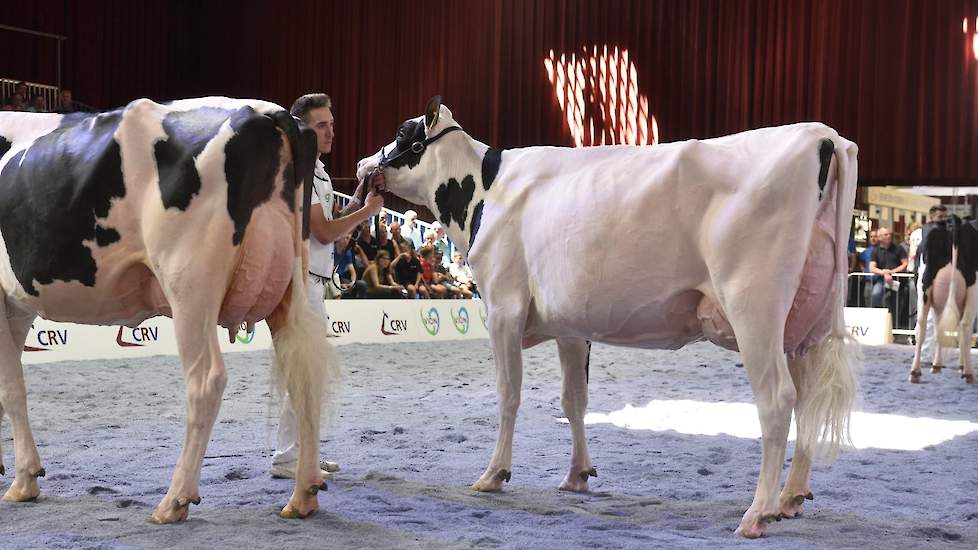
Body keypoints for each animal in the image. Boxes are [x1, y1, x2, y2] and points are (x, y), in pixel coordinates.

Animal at [0, 97, 352, 524]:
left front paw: (22, 481)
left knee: (206, 380)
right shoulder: (16, 302)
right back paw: (303, 495)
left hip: (189, 287)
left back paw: (174, 500)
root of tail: (268, 112)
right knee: (302, 377)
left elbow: (10, 389)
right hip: (290, 289)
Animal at [356, 98, 856, 540]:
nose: (362, 163)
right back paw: (790, 498)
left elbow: (508, 395)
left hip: (754, 308)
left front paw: (494, 473)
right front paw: (577, 475)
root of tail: (821, 135)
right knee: (807, 398)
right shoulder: (571, 327)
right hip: (802, 323)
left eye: (402, 133)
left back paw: (757, 513)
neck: (485, 192)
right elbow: (574, 400)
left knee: (777, 400)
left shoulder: (504, 306)